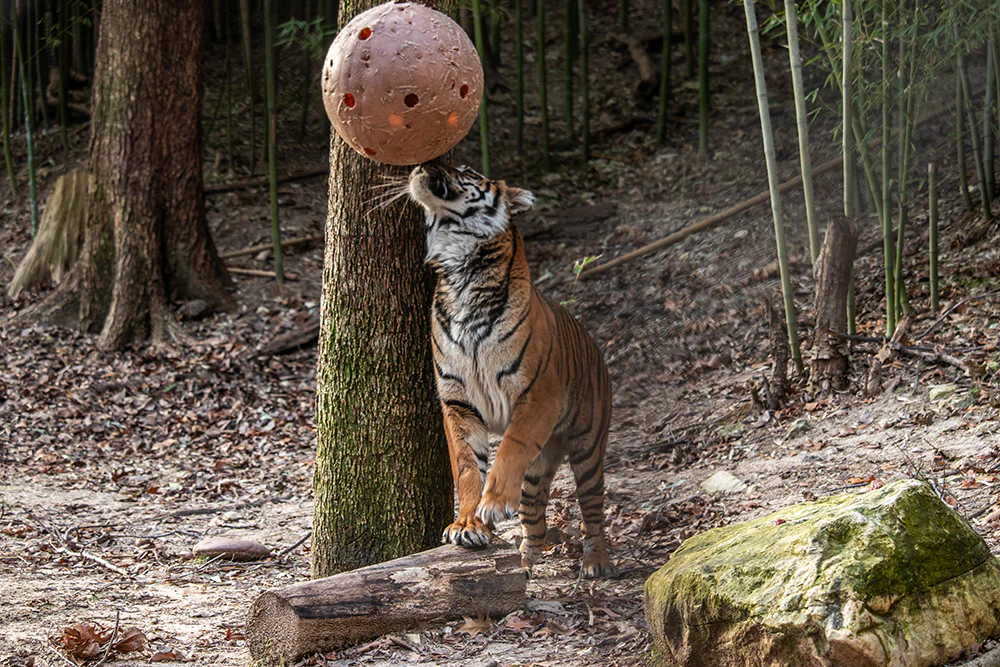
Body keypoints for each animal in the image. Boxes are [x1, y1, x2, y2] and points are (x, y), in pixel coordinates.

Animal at [407, 161, 615, 578]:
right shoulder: (457, 402)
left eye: (467, 169)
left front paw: (493, 505)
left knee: (593, 507)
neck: (461, 279)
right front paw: (468, 524)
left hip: (588, 445)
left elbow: (510, 448)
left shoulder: (538, 397)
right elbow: (466, 466)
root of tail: (595, 346)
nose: (425, 164)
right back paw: (526, 560)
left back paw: (596, 562)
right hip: (540, 463)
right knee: (535, 509)